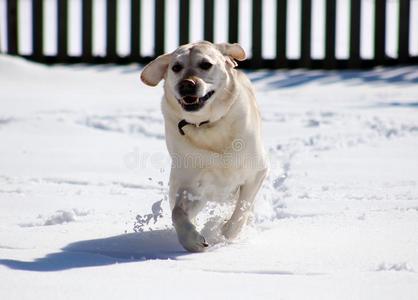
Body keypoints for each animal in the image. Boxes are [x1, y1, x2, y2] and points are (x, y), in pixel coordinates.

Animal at [141, 41, 268, 252]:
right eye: (176, 67)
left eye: (206, 64)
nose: (186, 84)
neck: (207, 125)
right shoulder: (191, 187)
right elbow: (177, 213)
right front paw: (193, 240)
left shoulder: (257, 172)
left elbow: (241, 211)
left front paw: (224, 233)